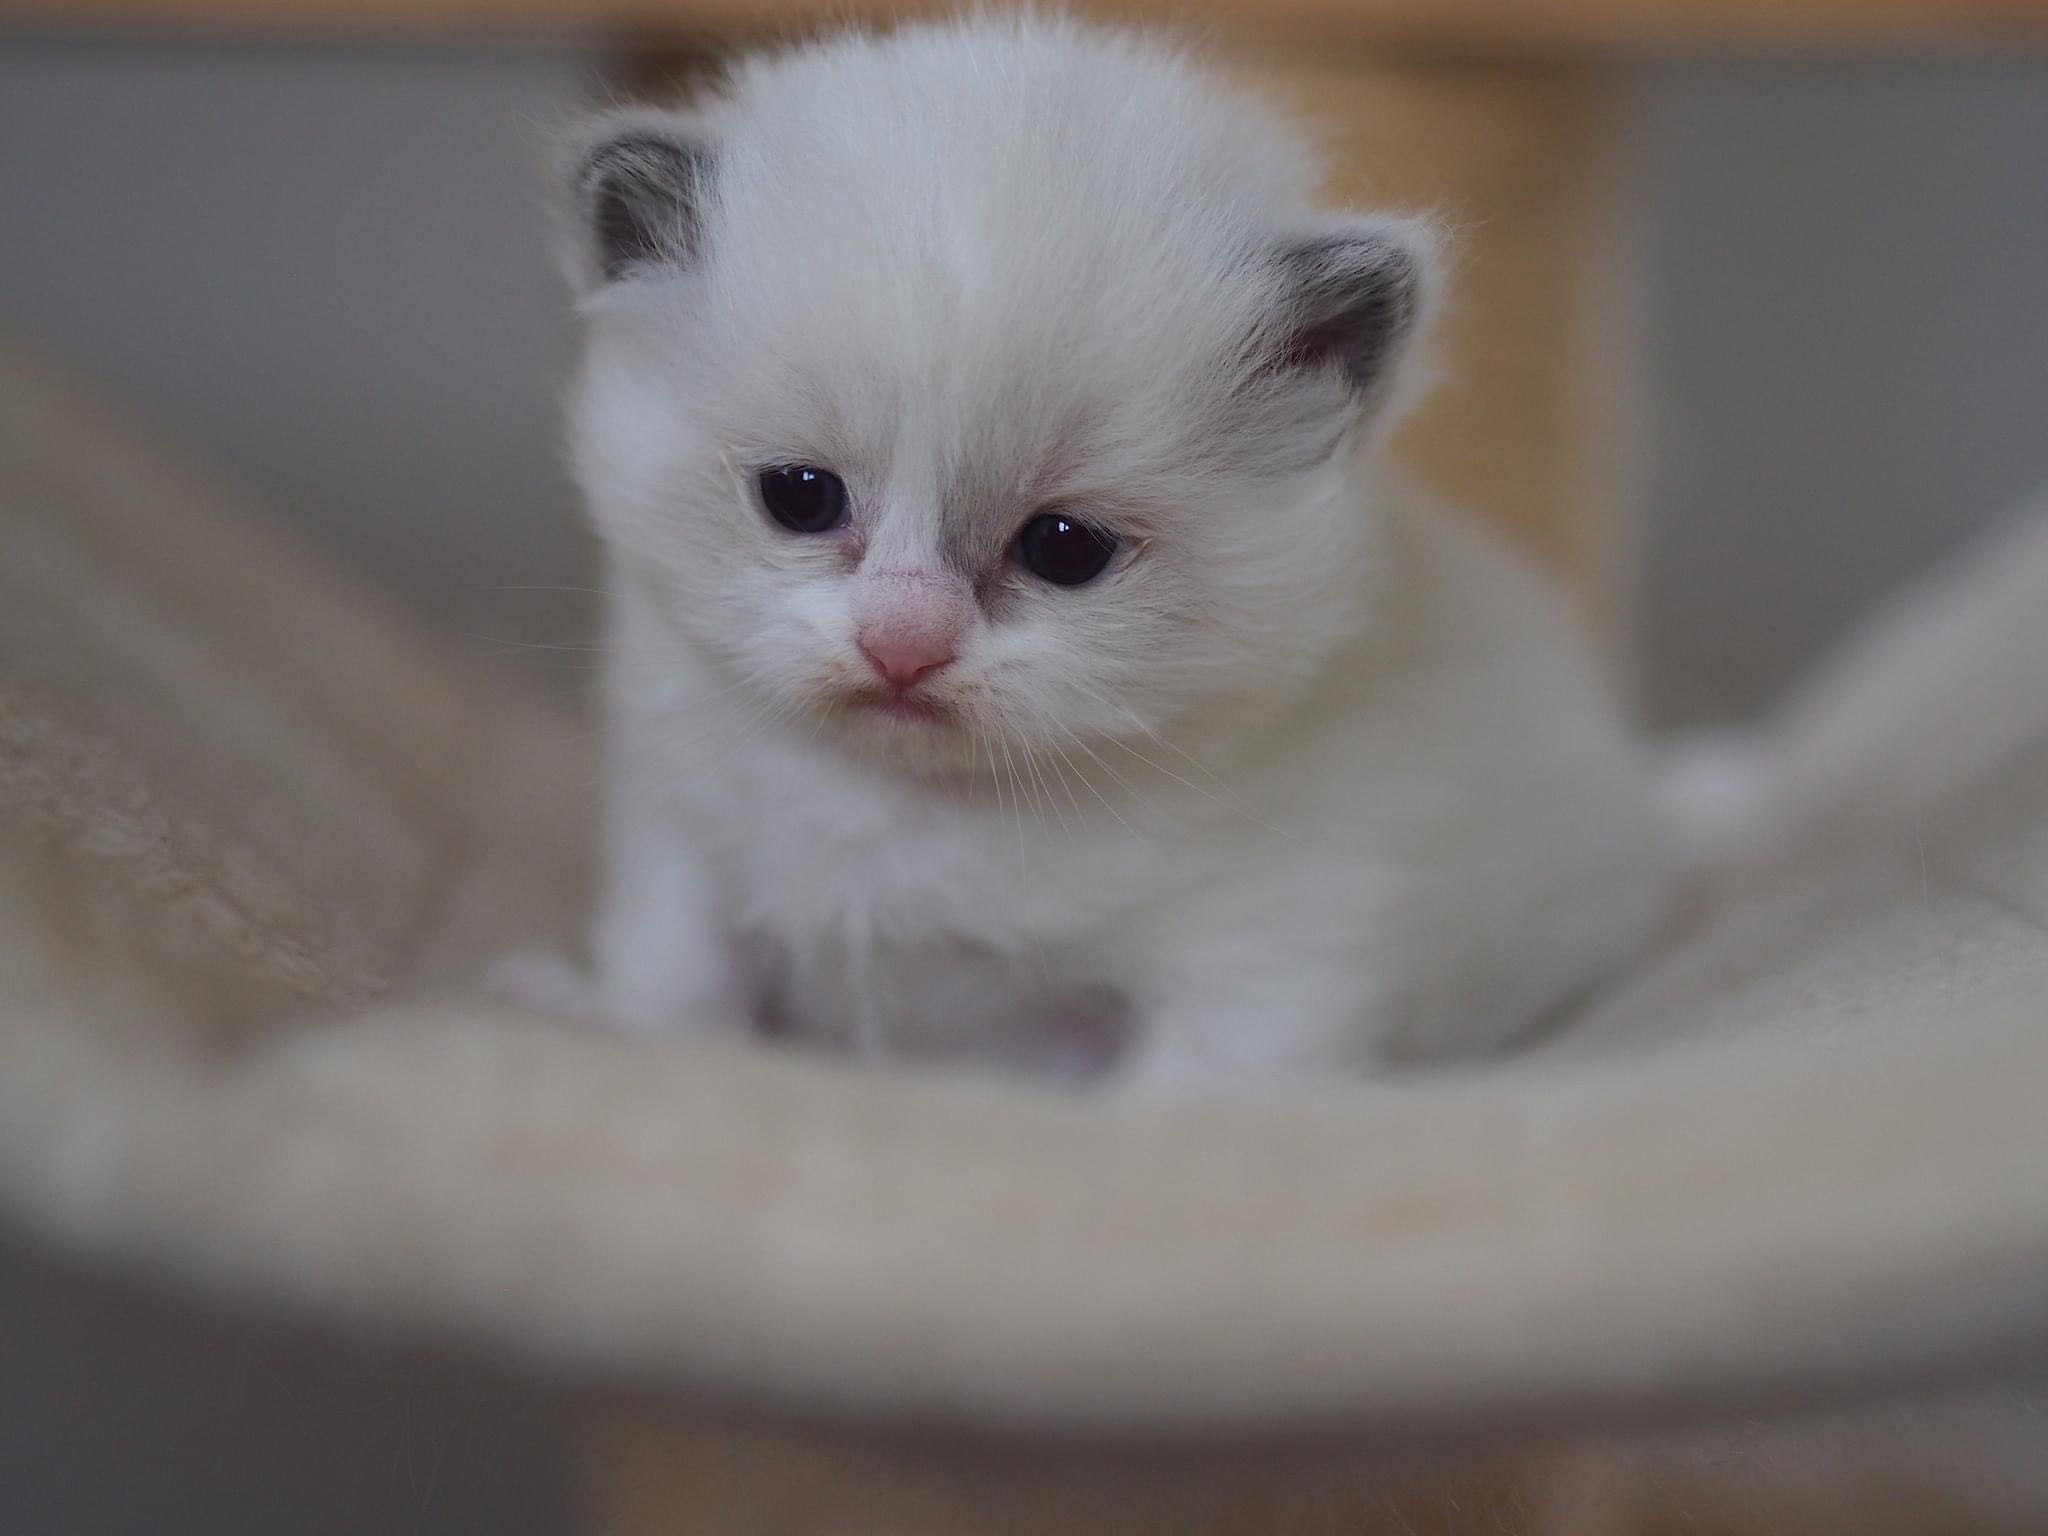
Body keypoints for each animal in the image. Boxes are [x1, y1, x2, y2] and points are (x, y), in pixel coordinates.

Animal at [550, 14, 1674, 1086]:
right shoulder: (676, 847)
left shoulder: (1279, 958)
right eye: (800, 498)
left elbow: (1179, 1099)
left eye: (1065, 549)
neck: (909, 811)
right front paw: (607, 1025)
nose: (903, 644)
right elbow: (677, 997)